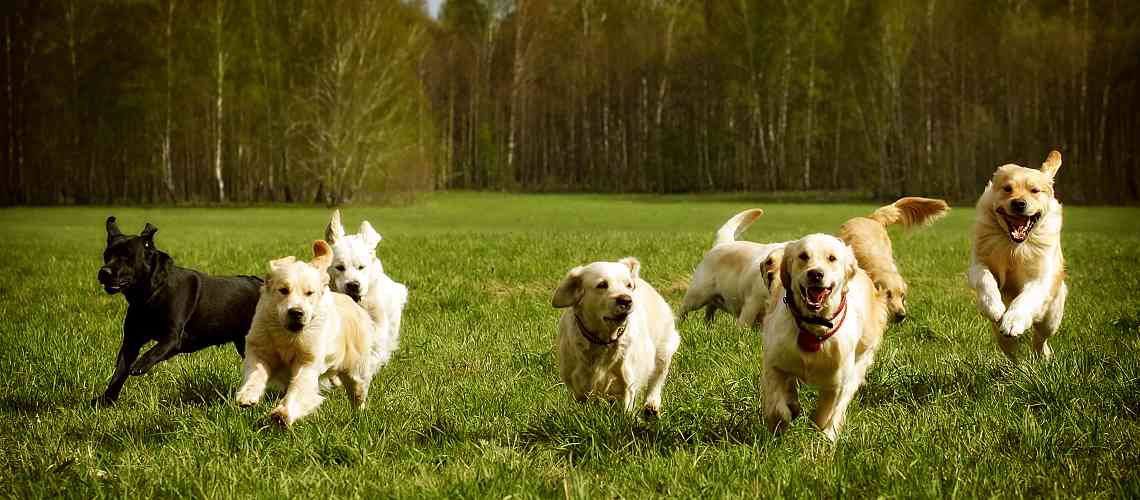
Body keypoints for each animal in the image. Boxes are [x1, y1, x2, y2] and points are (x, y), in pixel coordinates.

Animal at [94, 217, 262, 405]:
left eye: (126, 256)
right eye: (106, 256)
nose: (104, 271)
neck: (151, 293)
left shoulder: (172, 338)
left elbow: (153, 351)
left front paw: (139, 365)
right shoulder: (132, 340)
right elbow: (119, 372)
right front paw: (106, 399)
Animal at [233, 241, 380, 425]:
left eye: (309, 293)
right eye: (283, 290)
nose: (296, 312)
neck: (287, 336)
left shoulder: (308, 360)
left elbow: (299, 387)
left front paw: (282, 414)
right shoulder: (260, 347)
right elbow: (256, 372)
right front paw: (247, 396)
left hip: (355, 367)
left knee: (358, 391)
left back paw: (359, 415)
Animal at [549, 256, 674, 416]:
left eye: (629, 285)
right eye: (602, 284)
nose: (626, 300)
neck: (602, 340)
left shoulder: (627, 381)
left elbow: (626, 406)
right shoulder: (577, 383)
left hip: (663, 350)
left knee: (657, 378)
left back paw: (651, 406)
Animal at [761, 234, 884, 441]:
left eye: (832, 258)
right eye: (803, 256)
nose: (816, 274)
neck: (814, 327)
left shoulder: (836, 383)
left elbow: (824, 414)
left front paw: (822, 436)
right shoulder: (774, 362)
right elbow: (776, 405)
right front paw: (782, 420)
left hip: (859, 364)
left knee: (841, 404)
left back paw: (830, 434)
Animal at [971, 150, 1067, 362]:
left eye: (1035, 190)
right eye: (1008, 188)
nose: (1019, 204)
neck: (1014, 247)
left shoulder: (1040, 278)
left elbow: (1026, 298)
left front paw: (1013, 321)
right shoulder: (978, 264)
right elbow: (985, 279)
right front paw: (994, 307)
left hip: (1051, 319)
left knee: (1039, 339)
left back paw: (1043, 357)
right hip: (1001, 338)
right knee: (1014, 354)